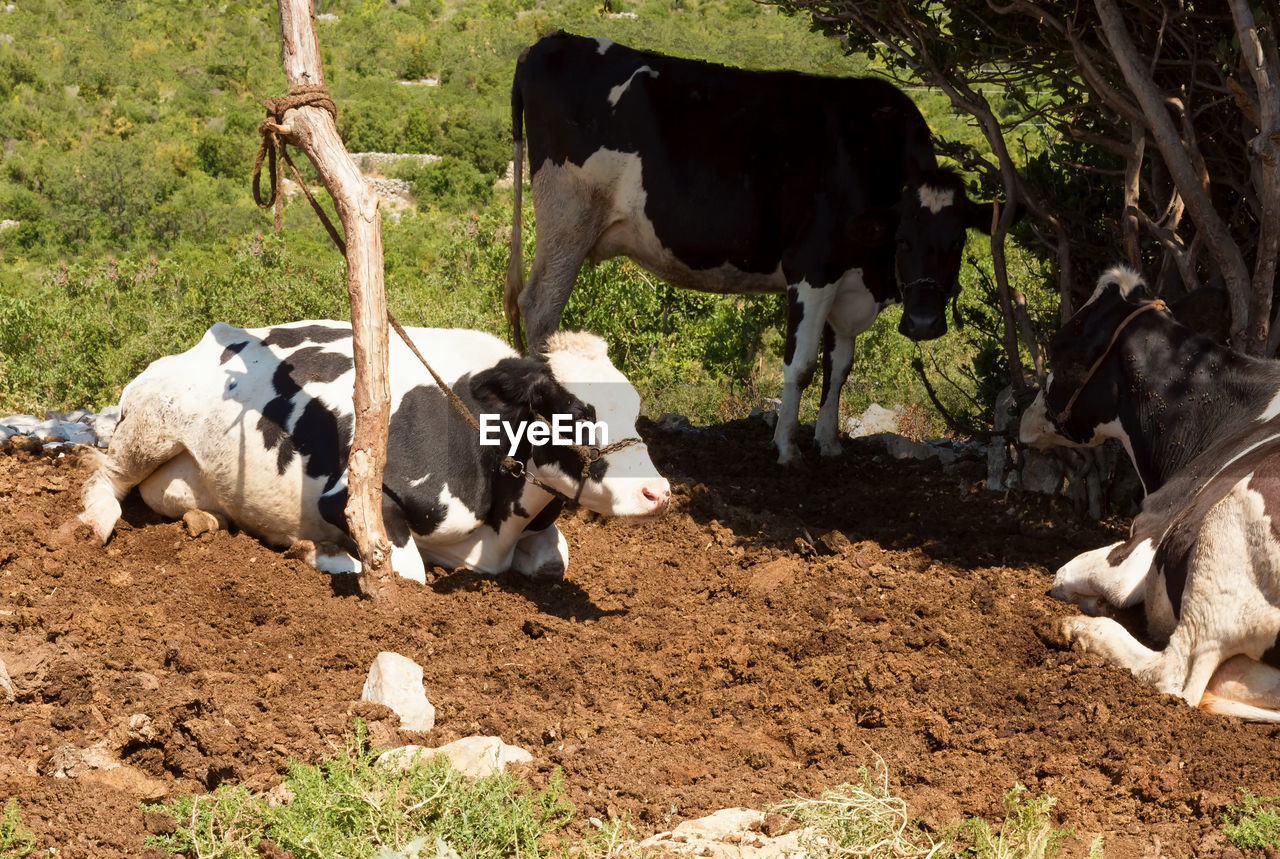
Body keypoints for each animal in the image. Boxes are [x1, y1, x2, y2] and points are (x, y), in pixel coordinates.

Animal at [80, 322, 670, 583]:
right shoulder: (349, 496)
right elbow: (405, 573)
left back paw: (206, 520)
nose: (657, 492)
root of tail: (200, 342)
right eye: (575, 413)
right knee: (105, 476)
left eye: (635, 406)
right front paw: (315, 552)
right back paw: (90, 525)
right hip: (149, 427)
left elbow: (552, 561)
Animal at [504, 32, 1003, 463]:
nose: (923, 324)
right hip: (568, 216)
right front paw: (786, 447)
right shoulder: (812, 268)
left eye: (957, 239)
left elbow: (840, 367)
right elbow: (801, 365)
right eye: (902, 239)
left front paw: (829, 443)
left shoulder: (848, 280)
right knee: (540, 307)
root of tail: (549, 42)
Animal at [1013, 264, 1280, 722]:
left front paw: (1090, 605)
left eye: (1061, 344)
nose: (1024, 418)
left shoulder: (1144, 540)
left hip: (1229, 527)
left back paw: (1083, 630)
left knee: (1174, 675)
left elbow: (1063, 576)